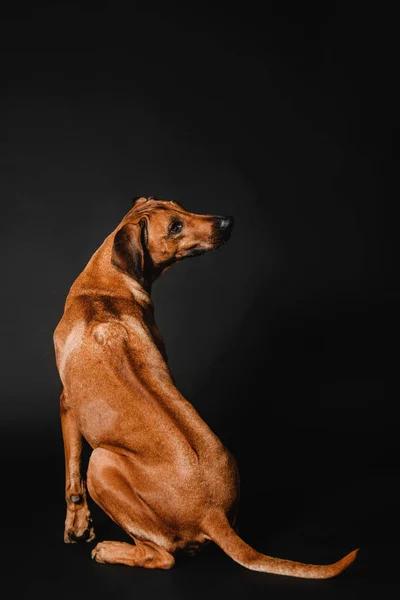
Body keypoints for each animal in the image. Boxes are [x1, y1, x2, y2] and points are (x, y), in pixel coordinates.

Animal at [54, 196, 360, 576]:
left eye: (180, 207)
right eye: (174, 226)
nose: (227, 222)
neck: (106, 285)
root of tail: (212, 514)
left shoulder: (67, 404)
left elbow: (72, 475)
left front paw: (77, 528)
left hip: (102, 462)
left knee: (161, 555)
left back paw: (112, 550)